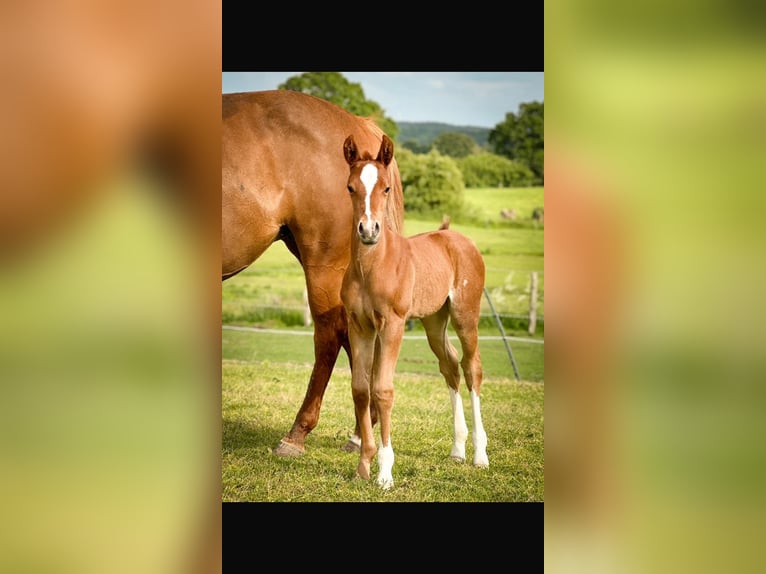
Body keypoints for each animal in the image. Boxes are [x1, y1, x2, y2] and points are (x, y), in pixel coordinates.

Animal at [344, 135, 492, 490]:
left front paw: (384, 472)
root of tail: (455, 236)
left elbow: (382, 390)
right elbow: (361, 390)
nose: (368, 230)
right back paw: (457, 450)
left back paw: (480, 455)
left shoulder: (392, 324)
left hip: (465, 315)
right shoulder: (359, 325)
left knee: (472, 368)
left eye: (386, 188)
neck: (372, 266)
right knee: (450, 367)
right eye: (350, 187)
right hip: (434, 321)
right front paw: (362, 467)